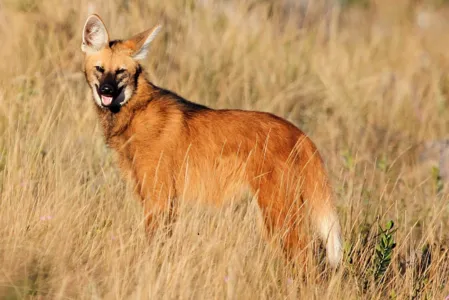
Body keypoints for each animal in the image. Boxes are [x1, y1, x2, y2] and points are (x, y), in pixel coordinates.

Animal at [80, 14, 342, 268]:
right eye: (100, 69)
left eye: (120, 72)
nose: (106, 91)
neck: (133, 111)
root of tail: (300, 133)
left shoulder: (159, 196)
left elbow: (154, 243)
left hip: (277, 211)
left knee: (307, 260)